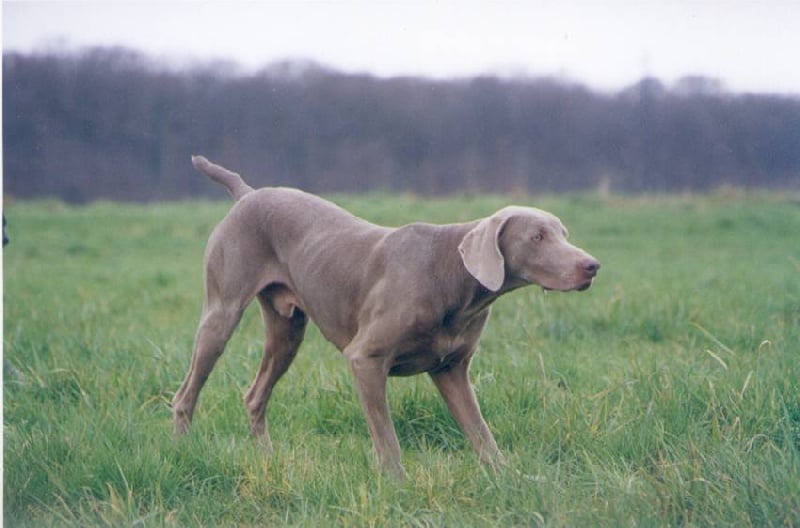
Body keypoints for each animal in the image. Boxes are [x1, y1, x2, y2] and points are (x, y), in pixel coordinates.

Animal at [175, 155, 600, 476]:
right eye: (537, 237)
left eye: (563, 233)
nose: (592, 266)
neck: (451, 276)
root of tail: (246, 194)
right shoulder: (365, 359)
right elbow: (386, 436)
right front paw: (397, 484)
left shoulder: (452, 369)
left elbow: (481, 433)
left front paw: (508, 478)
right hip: (221, 314)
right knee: (186, 392)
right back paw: (184, 450)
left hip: (287, 329)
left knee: (255, 395)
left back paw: (269, 459)